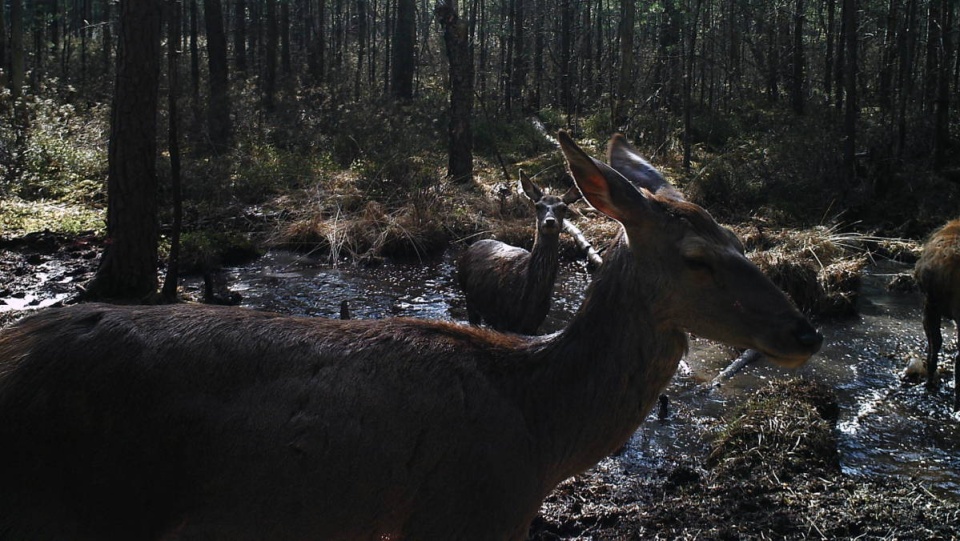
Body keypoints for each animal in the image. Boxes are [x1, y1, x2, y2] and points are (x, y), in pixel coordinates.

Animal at [456, 172, 580, 334]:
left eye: (564, 207)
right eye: (537, 206)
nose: (550, 221)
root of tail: (472, 245)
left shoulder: (534, 325)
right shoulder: (501, 320)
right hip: (469, 298)